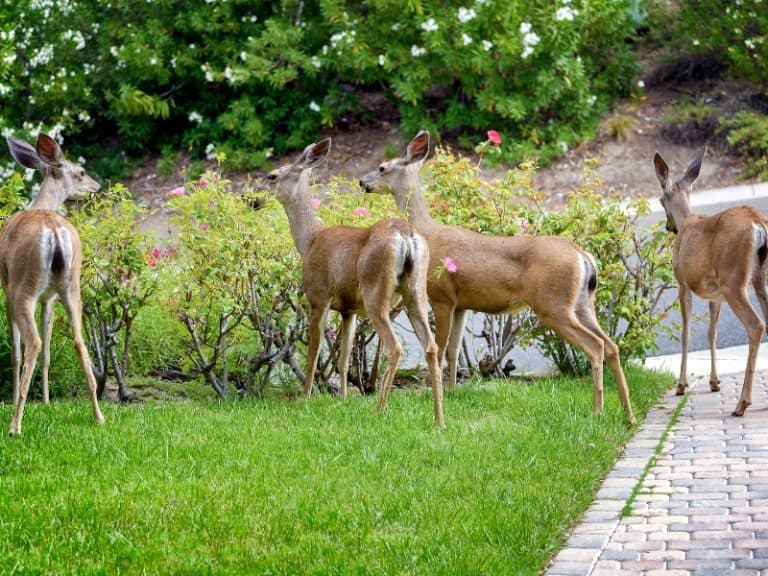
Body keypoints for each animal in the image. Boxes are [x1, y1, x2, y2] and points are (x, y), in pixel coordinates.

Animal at [2, 133, 105, 436]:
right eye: (81, 172)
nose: (97, 186)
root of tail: (54, 230)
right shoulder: (49, 297)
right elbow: (49, 349)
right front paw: (47, 401)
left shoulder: (6, 288)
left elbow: (15, 350)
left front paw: (15, 399)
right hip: (71, 287)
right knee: (78, 341)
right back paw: (99, 415)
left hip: (24, 287)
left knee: (32, 343)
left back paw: (15, 425)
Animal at [260, 137, 444, 428]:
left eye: (273, 176)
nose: (253, 197)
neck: (309, 241)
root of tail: (406, 235)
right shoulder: (348, 310)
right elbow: (344, 357)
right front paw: (344, 399)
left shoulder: (318, 296)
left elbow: (313, 355)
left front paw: (305, 398)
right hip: (416, 292)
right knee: (432, 346)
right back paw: (439, 420)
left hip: (375, 291)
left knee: (395, 347)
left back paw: (379, 411)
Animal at [360, 130, 636, 425]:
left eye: (382, 167)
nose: (362, 181)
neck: (427, 232)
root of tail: (583, 256)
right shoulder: (462, 304)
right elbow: (454, 349)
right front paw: (453, 390)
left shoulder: (442, 296)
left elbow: (442, 346)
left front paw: (441, 393)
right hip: (583, 303)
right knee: (611, 345)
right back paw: (628, 414)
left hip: (554, 305)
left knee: (595, 346)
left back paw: (597, 411)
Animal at [653, 150, 768, 416]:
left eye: (661, 200)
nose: (669, 227)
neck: (687, 220)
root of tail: (758, 224)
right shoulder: (716, 296)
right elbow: (711, 332)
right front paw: (714, 382)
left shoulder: (683, 283)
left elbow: (685, 333)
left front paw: (681, 385)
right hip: (760, 279)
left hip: (734, 281)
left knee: (757, 325)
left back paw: (742, 404)